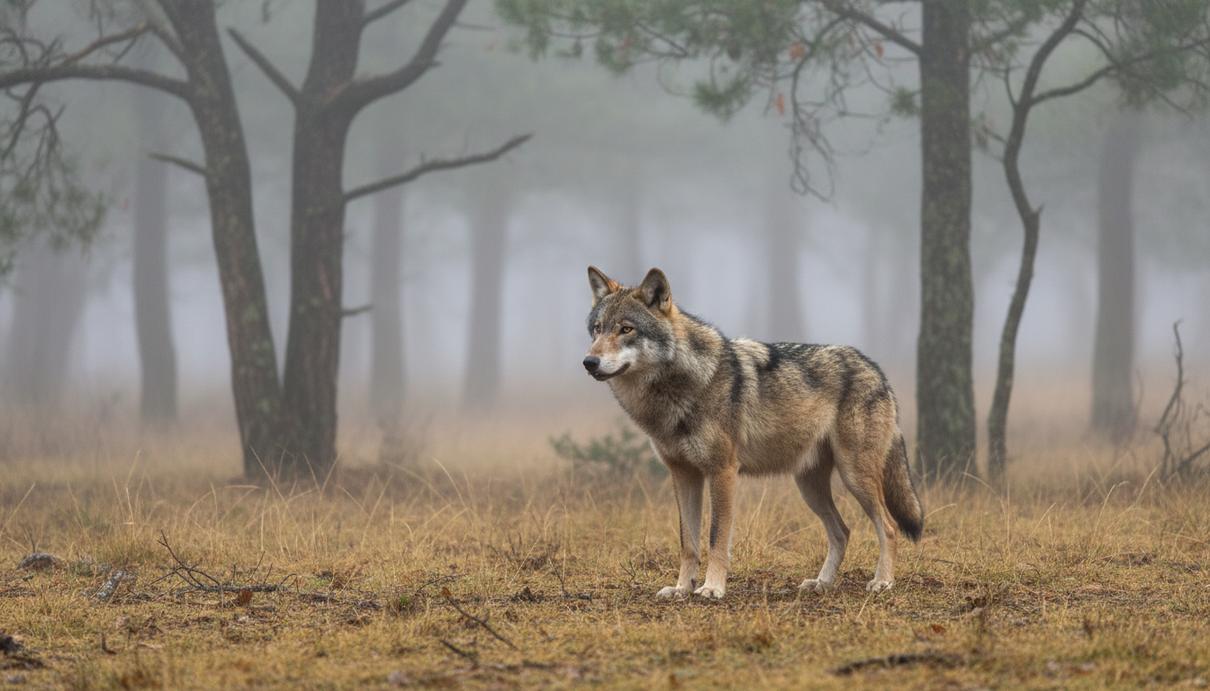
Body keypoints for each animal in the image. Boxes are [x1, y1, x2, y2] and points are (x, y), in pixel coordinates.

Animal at [582, 266, 923, 600]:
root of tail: (876, 370)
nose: (589, 361)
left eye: (626, 329)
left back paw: (882, 582)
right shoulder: (683, 475)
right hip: (809, 486)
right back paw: (821, 583)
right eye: (597, 329)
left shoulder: (722, 472)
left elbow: (716, 537)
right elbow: (688, 542)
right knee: (842, 531)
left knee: (889, 527)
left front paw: (712, 588)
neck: (681, 386)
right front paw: (681, 588)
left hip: (854, 477)